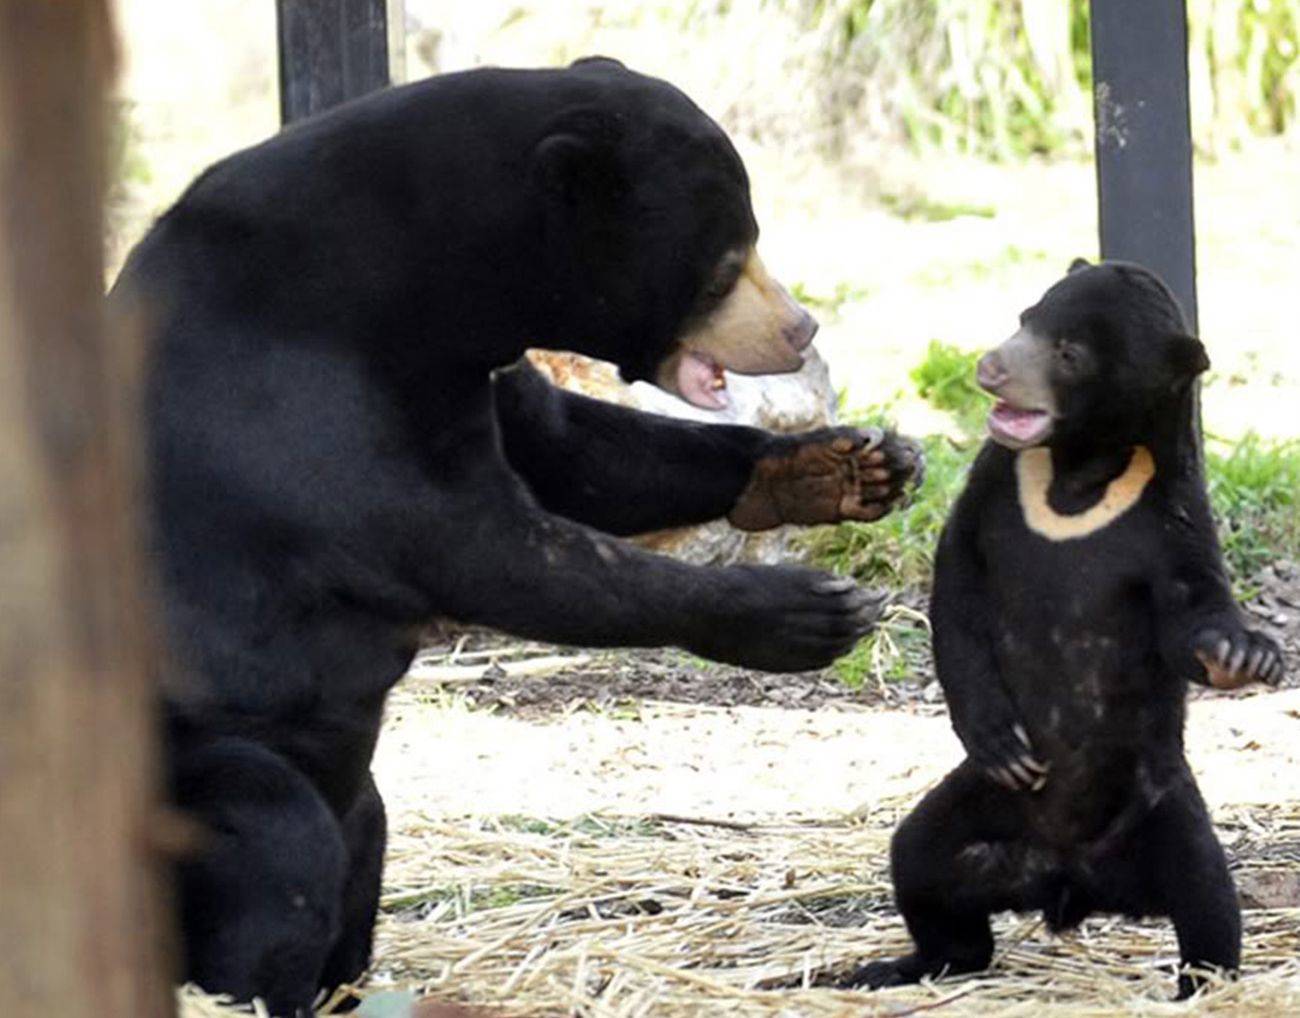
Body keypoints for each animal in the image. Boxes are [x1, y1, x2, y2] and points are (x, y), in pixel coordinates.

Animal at [114, 59, 925, 1014]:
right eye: (728, 262)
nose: (802, 327)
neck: (431, 280)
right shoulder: (302, 394)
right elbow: (490, 549)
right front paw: (806, 611)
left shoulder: (478, 370)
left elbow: (575, 449)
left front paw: (853, 465)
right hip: (189, 772)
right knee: (273, 844)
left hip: (353, 795)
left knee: (362, 843)